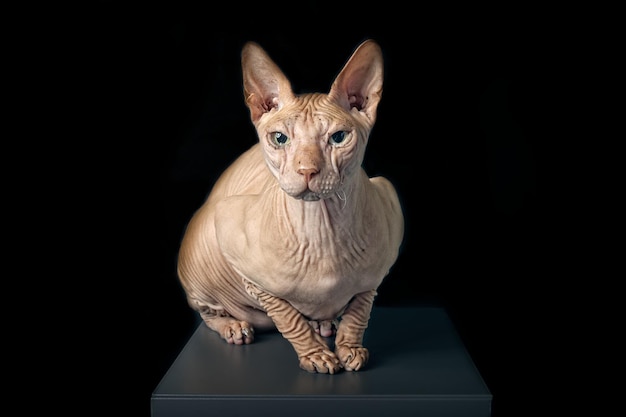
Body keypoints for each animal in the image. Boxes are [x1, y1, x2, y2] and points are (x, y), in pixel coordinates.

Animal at [176, 38, 402, 370]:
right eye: (280, 138)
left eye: (338, 137)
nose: (307, 170)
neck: (323, 229)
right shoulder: (229, 230)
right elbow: (287, 317)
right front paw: (316, 353)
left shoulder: (376, 267)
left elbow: (359, 311)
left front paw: (349, 347)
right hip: (201, 243)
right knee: (207, 312)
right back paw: (234, 326)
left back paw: (325, 323)